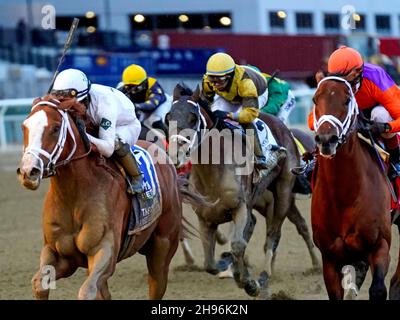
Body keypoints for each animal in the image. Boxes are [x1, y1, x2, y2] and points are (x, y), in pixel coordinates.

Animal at [16, 97, 206, 300]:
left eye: (55, 128)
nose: (28, 171)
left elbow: (86, 291)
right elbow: (39, 284)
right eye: (24, 126)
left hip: (162, 248)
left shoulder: (103, 251)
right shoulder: (58, 255)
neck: (73, 196)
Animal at [166, 84, 318, 296]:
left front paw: (248, 283)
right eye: (168, 117)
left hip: (284, 192)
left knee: (274, 234)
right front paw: (227, 266)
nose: (175, 155)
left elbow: (238, 245)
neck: (213, 174)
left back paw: (267, 274)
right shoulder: (205, 218)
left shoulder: (240, 207)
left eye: (193, 117)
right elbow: (209, 264)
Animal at [312, 77, 390, 300]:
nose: (326, 139)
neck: (345, 196)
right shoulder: (330, 257)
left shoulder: (380, 244)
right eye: (315, 99)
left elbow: (378, 289)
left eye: (347, 100)